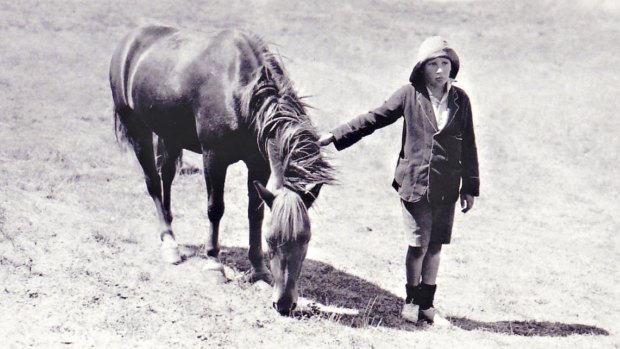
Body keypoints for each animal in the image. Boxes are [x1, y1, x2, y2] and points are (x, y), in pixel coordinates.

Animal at [109, 25, 336, 314]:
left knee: (166, 177)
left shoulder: (258, 163)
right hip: (138, 129)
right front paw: (213, 264)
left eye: (306, 240)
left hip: (169, 135)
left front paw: (259, 272)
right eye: (272, 241)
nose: (284, 304)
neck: (242, 92)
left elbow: (255, 213)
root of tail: (130, 39)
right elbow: (215, 209)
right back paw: (169, 242)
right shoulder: (213, 158)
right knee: (152, 183)